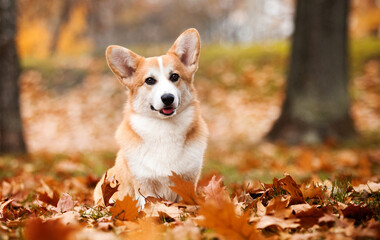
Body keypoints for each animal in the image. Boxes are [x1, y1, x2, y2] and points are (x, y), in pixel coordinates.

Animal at [94, 29, 209, 207]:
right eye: (149, 80)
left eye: (174, 77)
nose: (167, 98)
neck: (164, 129)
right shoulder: (144, 184)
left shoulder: (188, 181)